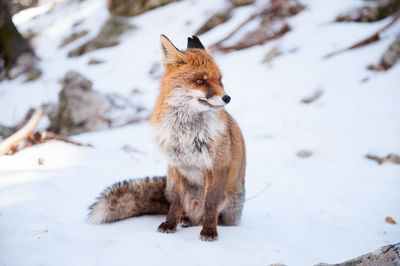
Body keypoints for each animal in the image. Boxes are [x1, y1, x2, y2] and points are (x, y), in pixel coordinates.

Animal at [87, 34, 245, 241]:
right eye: (199, 81)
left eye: (219, 80)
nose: (227, 98)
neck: (186, 133)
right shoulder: (175, 165)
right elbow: (176, 202)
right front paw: (170, 223)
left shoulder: (216, 166)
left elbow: (210, 205)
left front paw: (209, 230)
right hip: (169, 184)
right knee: (181, 208)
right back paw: (184, 219)